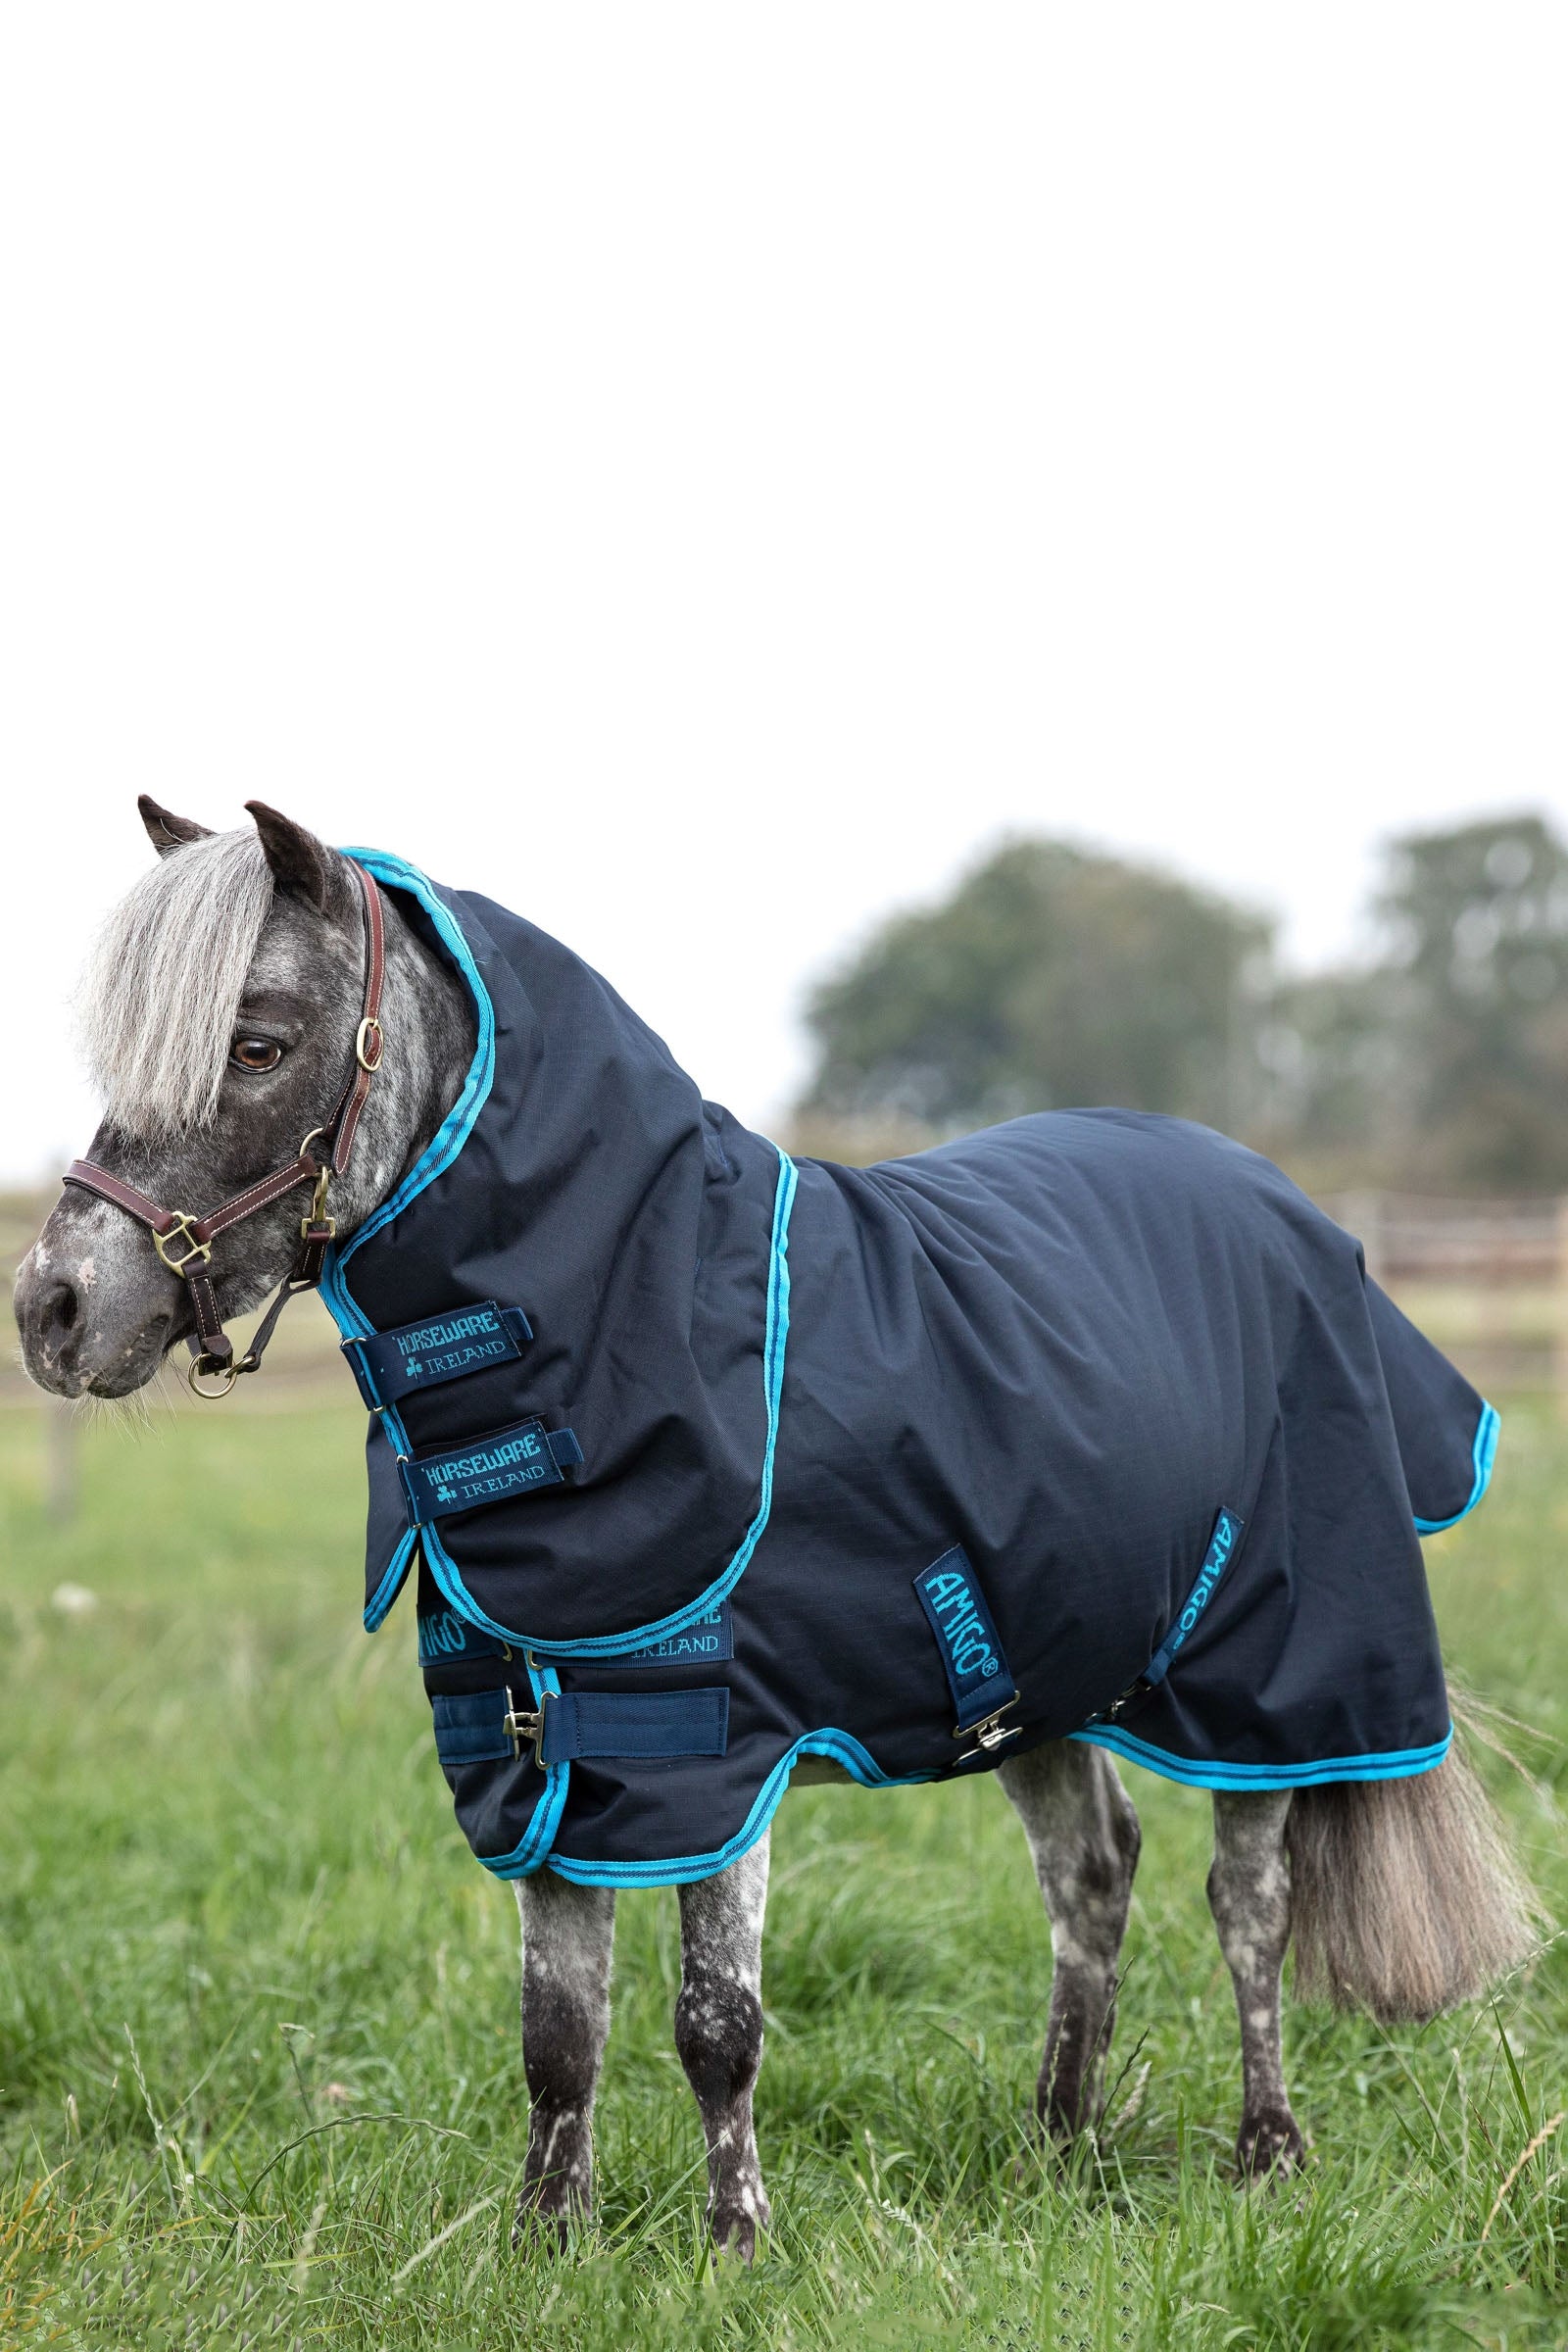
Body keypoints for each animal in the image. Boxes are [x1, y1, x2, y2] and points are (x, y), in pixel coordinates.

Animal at [14, 799, 1539, 2258]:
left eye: (258, 1044)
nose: (53, 1308)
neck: (638, 1313)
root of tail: (1288, 1207)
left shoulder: (713, 1750)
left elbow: (714, 2023)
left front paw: (737, 2245)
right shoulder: (540, 1752)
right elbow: (557, 2032)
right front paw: (545, 2247)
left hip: (1275, 1677)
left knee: (1249, 1902)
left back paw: (1264, 2153)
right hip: (1040, 1668)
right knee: (1092, 1877)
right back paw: (1059, 2143)